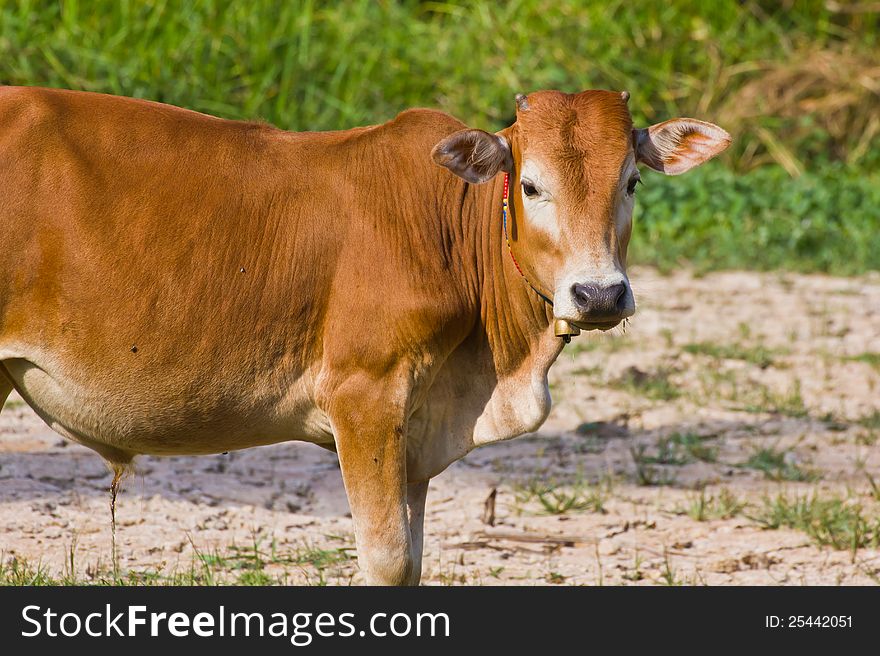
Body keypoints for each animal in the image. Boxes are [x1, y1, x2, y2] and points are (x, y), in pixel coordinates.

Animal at [0, 87, 728, 584]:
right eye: (530, 185)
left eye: (631, 182)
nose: (599, 294)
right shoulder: (365, 397)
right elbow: (387, 560)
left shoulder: (418, 430)